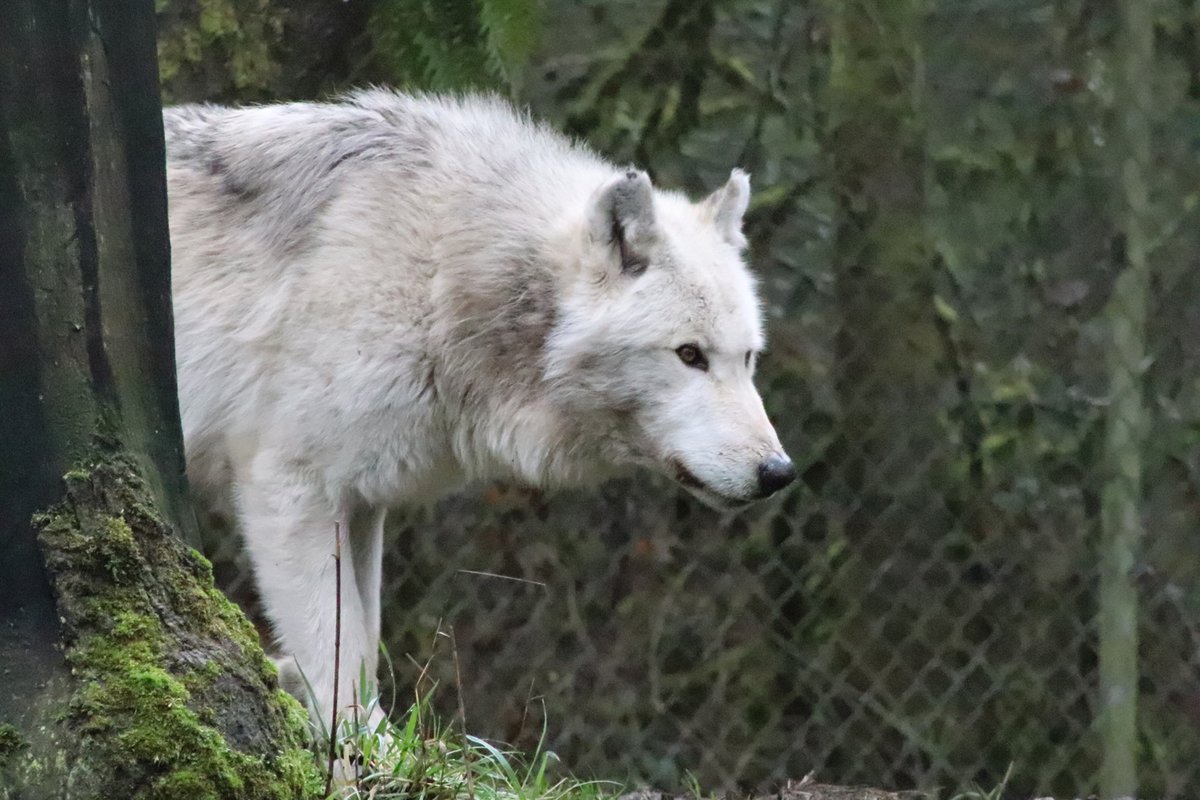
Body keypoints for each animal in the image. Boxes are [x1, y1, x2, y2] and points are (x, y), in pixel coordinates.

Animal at [164, 90, 794, 731]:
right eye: (689, 354)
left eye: (748, 358)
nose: (779, 473)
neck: (437, 272)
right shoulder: (290, 489)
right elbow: (334, 655)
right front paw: (364, 753)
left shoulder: (360, 503)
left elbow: (362, 644)